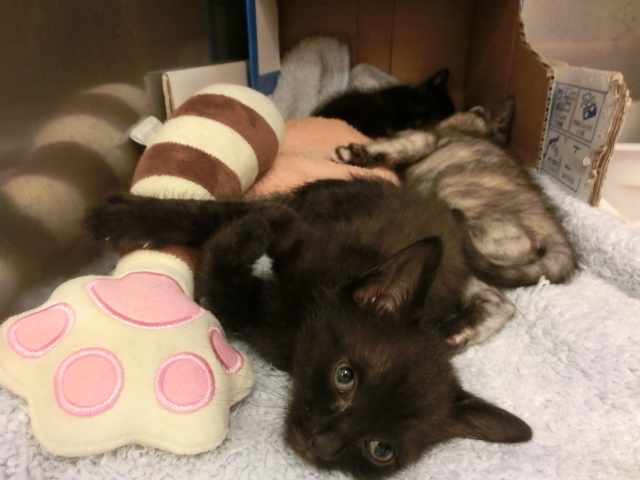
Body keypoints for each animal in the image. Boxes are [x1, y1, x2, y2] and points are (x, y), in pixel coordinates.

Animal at [85, 177, 532, 479]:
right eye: (344, 376)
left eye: (381, 449)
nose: (323, 444)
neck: (306, 313)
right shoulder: (304, 241)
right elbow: (222, 215)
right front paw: (121, 217)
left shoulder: (250, 315)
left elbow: (218, 267)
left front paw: (241, 238)